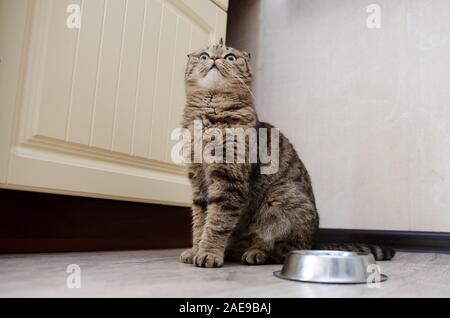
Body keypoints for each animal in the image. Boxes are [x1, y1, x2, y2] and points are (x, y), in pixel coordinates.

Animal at [179, 41, 394, 268]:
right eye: (204, 55)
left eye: (230, 57)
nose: (214, 58)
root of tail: (314, 241)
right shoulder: (198, 182)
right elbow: (200, 222)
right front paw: (196, 249)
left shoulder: (229, 180)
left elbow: (217, 221)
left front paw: (209, 252)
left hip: (279, 201)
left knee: (282, 250)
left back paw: (256, 253)